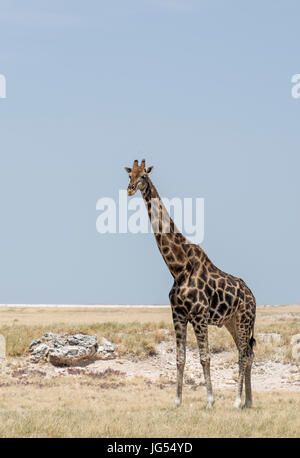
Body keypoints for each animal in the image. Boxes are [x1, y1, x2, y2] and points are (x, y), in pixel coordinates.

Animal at [125, 160, 256, 408]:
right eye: (130, 174)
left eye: (144, 175)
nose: (130, 188)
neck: (178, 268)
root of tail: (253, 296)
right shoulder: (178, 315)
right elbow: (180, 358)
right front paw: (177, 401)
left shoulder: (199, 315)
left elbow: (205, 357)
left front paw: (210, 401)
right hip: (232, 322)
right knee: (247, 353)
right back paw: (248, 402)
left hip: (245, 319)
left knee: (244, 354)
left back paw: (237, 402)